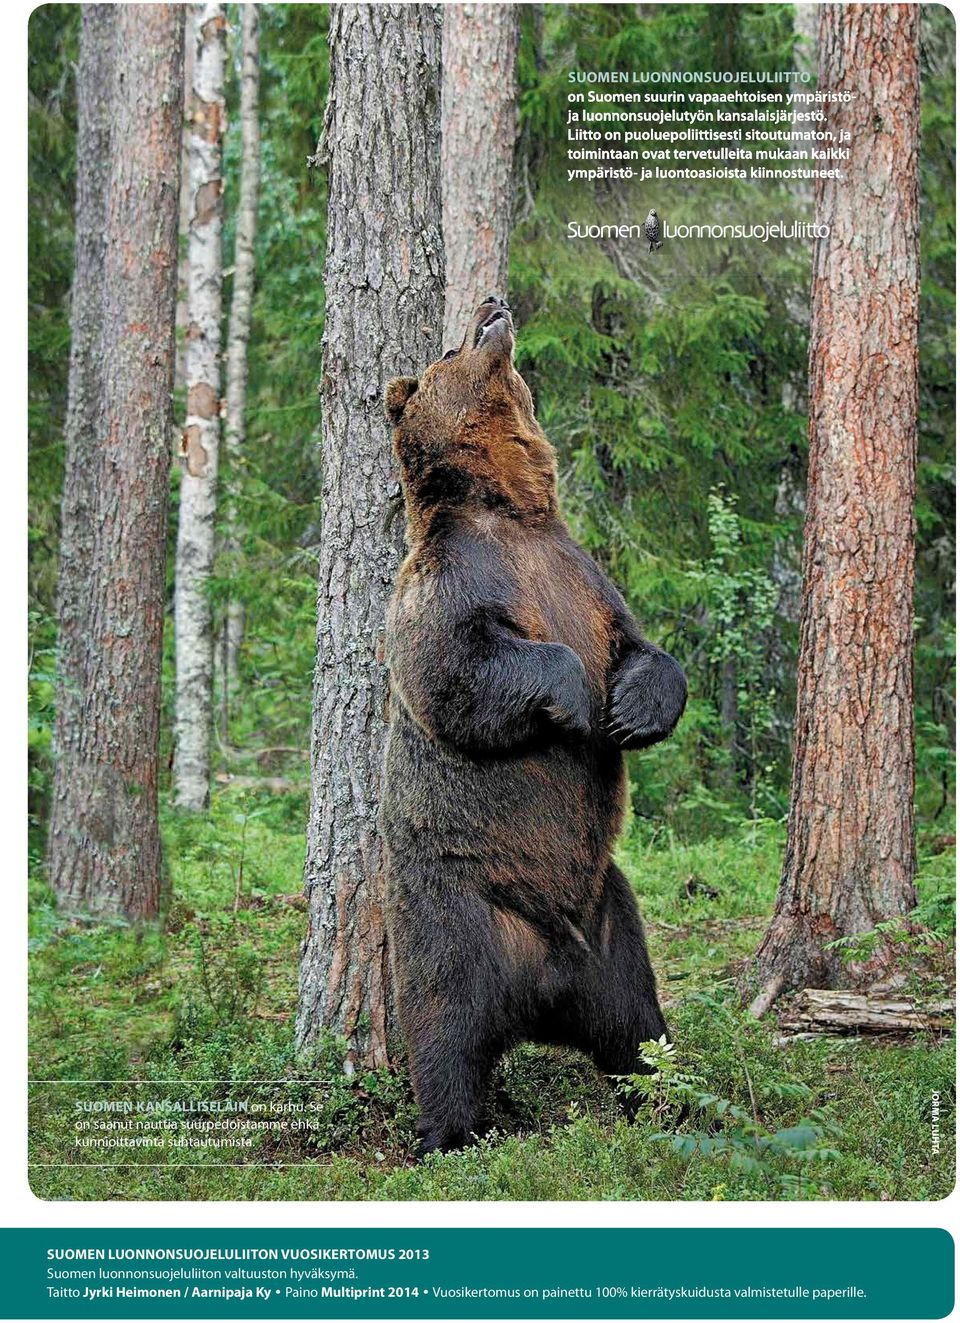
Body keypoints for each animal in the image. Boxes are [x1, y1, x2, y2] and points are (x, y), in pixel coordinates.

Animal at [380, 295, 687, 1153]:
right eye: (448, 350)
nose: (491, 306)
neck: (508, 509)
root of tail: (543, 990)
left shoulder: (584, 578)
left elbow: (644, 649)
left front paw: (631, 708)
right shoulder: (445, 585)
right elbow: (458, 668)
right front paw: (578, 696)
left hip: (612, 921)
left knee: (638, 1027)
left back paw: (676, 1103)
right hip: (457, 913)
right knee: (445, 1027)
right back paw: (447, 1132)